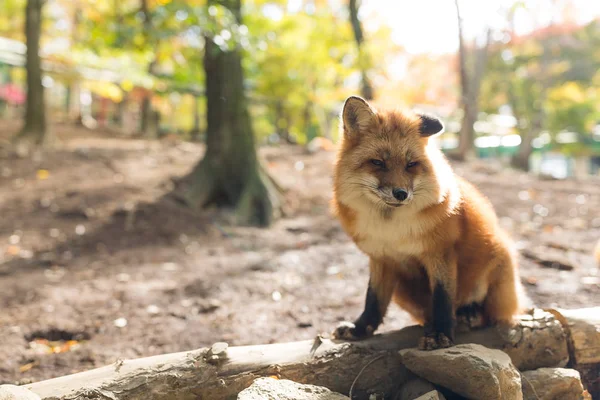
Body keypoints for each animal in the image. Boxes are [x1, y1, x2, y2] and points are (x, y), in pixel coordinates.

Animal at [330, 97, 524, 350]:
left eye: (411, 164)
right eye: (377, 162)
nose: (401, 194)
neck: (391, 230)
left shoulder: (440, 253)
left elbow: (443, 298)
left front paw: (441, 334)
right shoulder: (381, 258)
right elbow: (373, 300)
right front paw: (360, 329)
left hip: (498, 262)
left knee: (491, 315)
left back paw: (469, 315)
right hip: (402, 290)